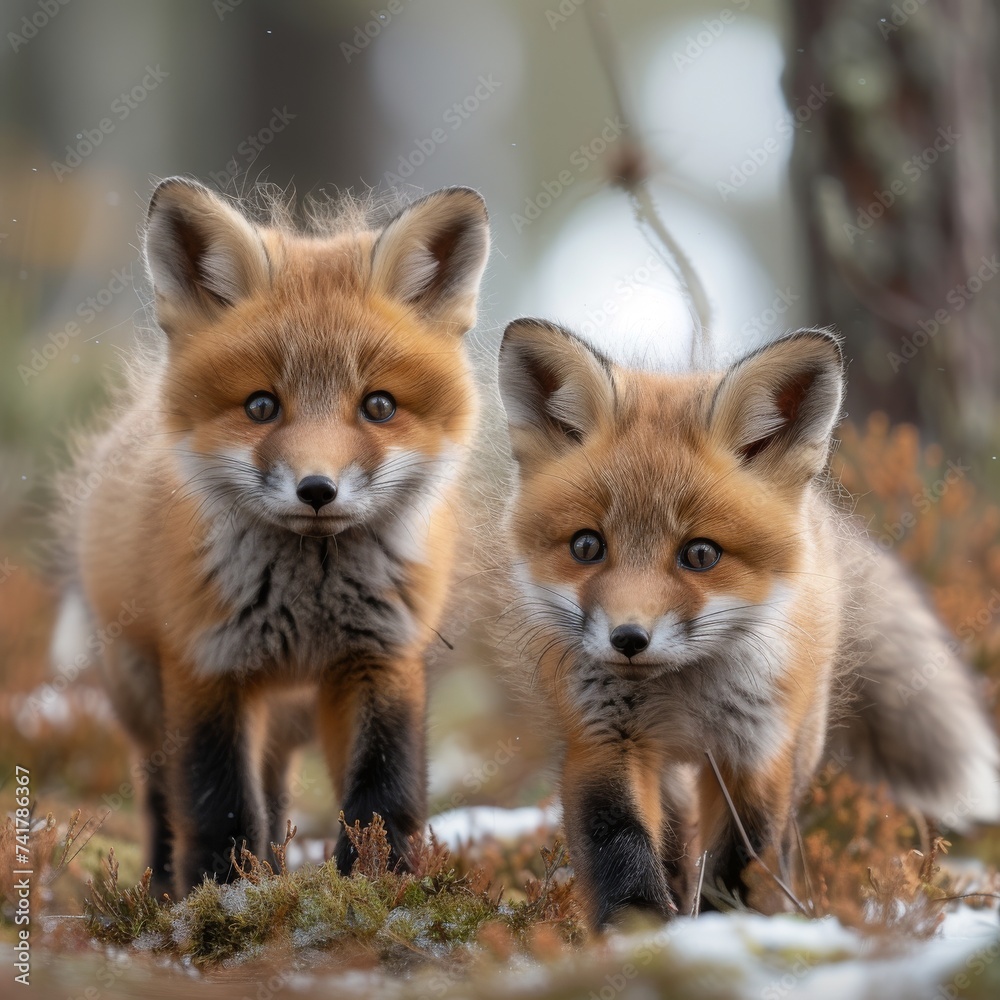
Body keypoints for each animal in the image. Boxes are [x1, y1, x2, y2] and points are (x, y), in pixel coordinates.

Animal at [51, 178, 490, 896]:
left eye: (379, 406)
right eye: (261, 406)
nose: (317, 489)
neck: (309, 602)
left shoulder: (379, 658)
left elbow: (382, 795)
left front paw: (378, 888)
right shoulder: (208, 664)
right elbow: (219, 805)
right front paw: (218, 897)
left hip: (287, 717)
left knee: (277, 786)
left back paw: (278, 873)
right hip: (145, 697)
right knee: (163, 799)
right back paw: (160, 889)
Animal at [495, 319, 1000, 928]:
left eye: (700, 554)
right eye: (587, 546)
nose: (628, 639)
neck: (683, 689)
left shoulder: (755, 752)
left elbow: (743, 857)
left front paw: (725, 927)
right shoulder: (604, 739)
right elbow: (619, 840)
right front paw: (638, 926)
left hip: (800, 742)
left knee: (777, 839)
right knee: (672, 834)